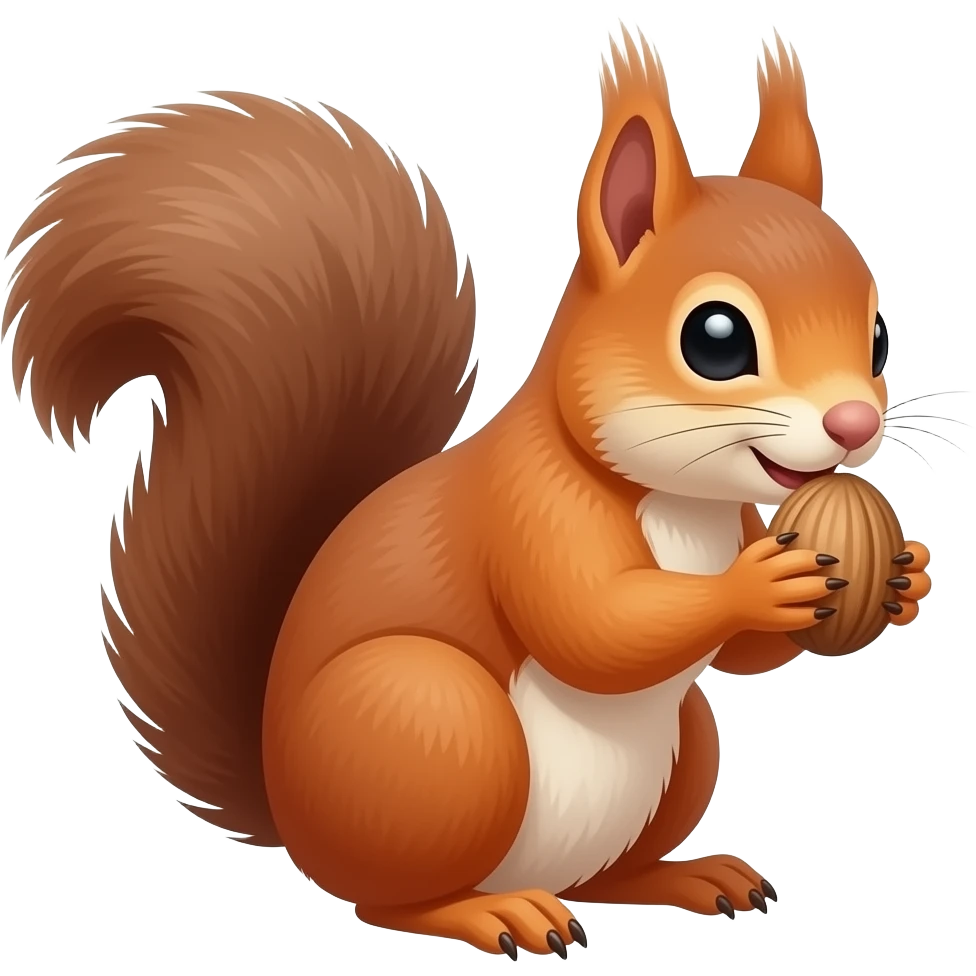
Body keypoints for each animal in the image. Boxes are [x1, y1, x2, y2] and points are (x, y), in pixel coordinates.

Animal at [3, 22, 933, 960]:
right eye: (715, 338)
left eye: (880, 336)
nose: (855, 423)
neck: (679, 502)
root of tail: (290, 815)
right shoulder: (533, 509)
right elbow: (593, 624)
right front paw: (761, 584)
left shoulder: (734, 516)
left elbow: (734, 659)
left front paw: (906, 578)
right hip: (434, 728)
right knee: (391, 897)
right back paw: (489, 912)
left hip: (683, 751)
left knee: (606, 875)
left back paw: (679, 877)